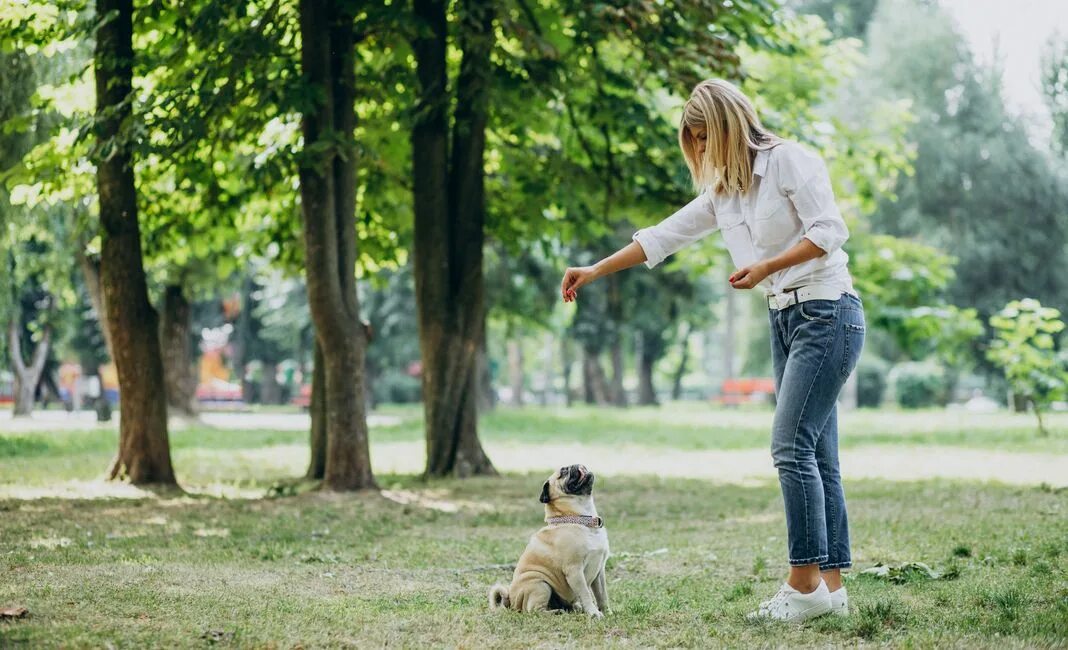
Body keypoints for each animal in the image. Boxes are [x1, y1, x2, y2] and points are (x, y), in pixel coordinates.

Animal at [487, 463, 610, 614]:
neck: (581, 519)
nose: (576, 465)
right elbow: (586, 594)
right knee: (535, 610)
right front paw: (593, 613)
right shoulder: (574, 571)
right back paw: (556, 612)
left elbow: (602, 596)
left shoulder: (600, 572)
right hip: (541, 585)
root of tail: (511, 601)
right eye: (563, 472)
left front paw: (607, 612)